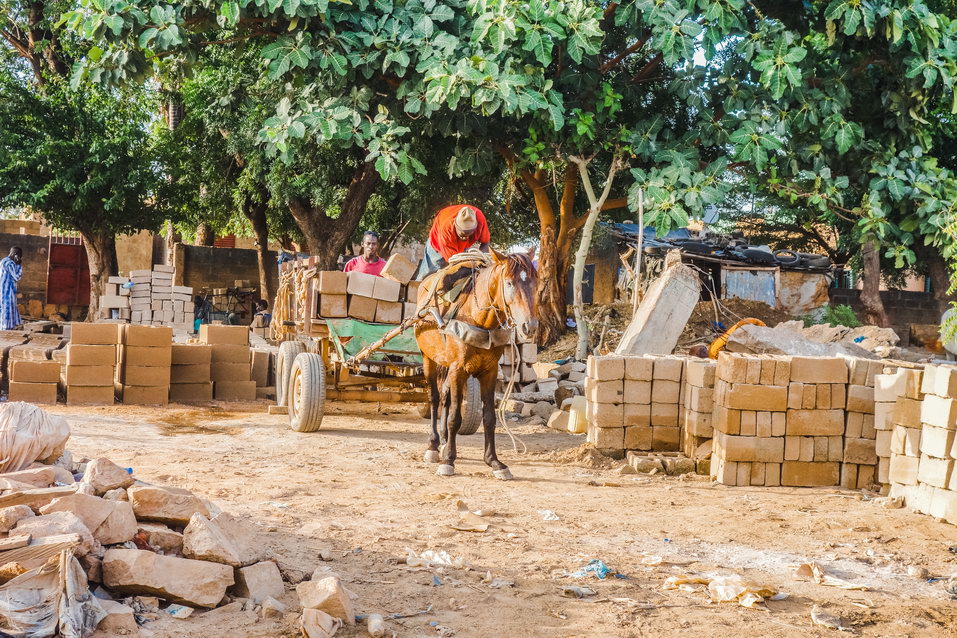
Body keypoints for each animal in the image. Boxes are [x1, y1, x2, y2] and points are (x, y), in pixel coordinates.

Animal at [414, 250, 536, 480]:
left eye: (535, 281)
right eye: (508, 283)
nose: (529, 326)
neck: (478, 318)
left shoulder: (489, 372)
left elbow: (489, 417)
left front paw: (494, 461)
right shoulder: (458, 369)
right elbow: (455, 417)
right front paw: (448, 461)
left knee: (445, 397)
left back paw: (444, 440)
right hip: (429, 358)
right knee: (434, 399)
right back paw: (433, 445)